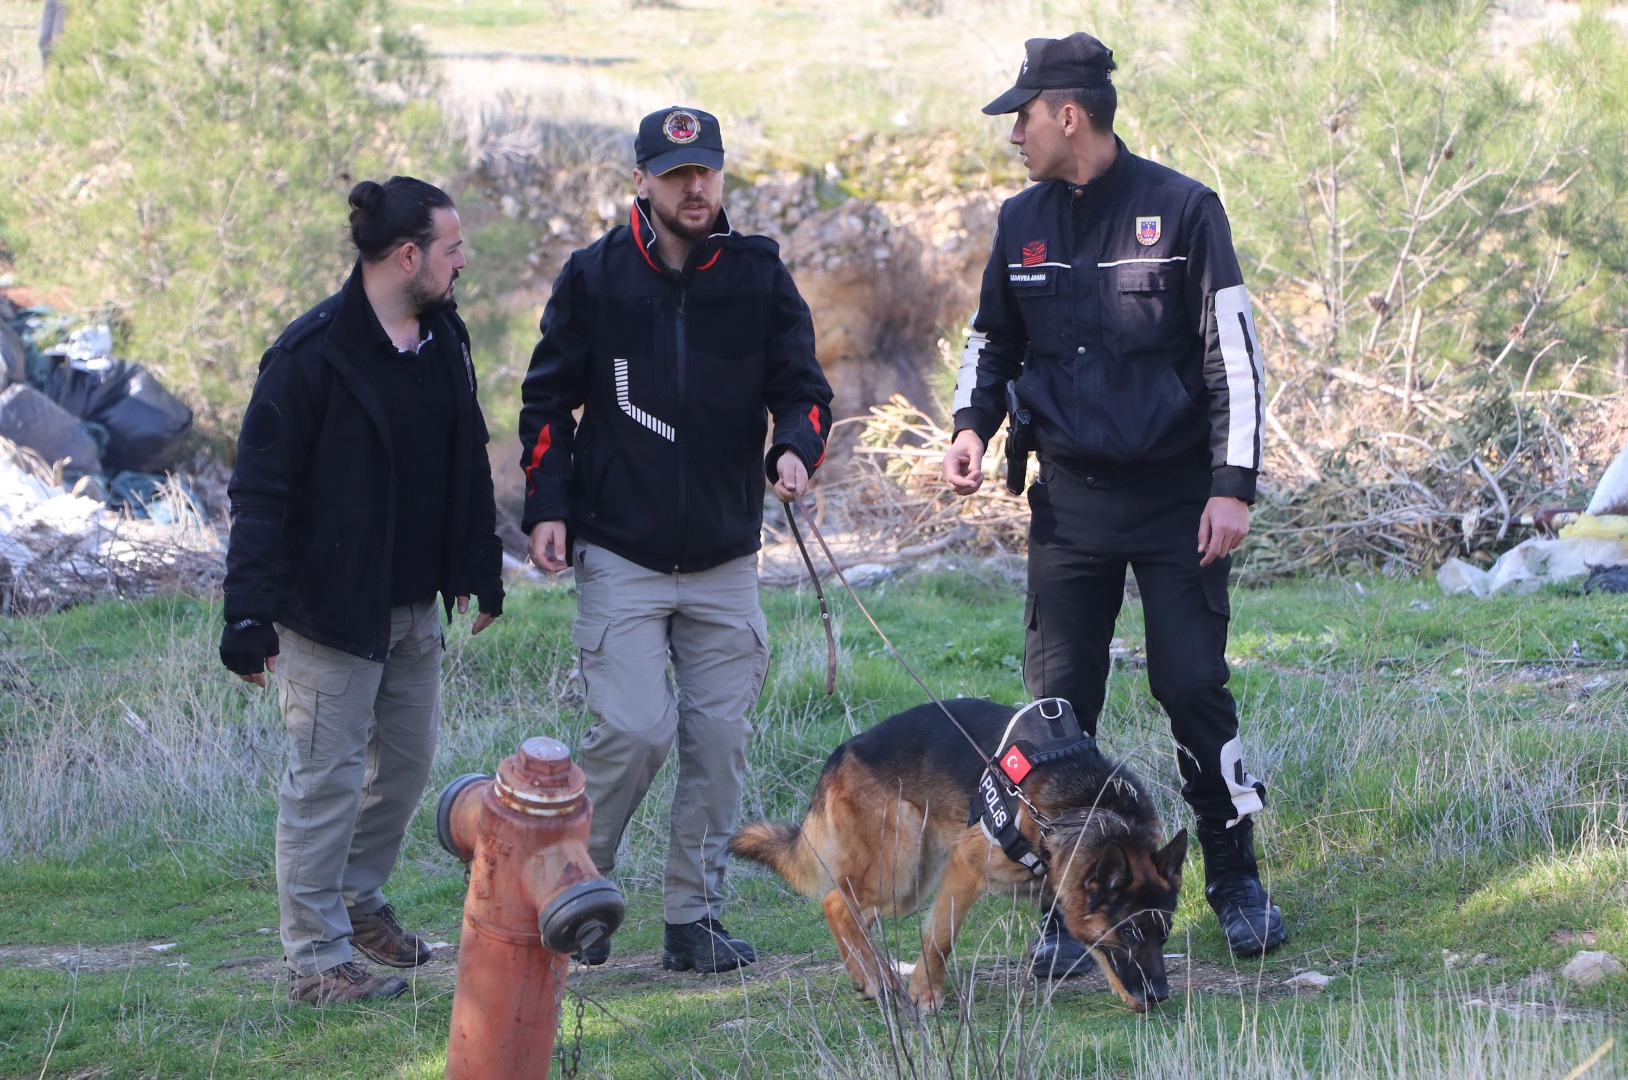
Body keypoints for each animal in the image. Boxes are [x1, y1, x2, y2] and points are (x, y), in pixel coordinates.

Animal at [732, 700, 1191, 1016]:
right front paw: (926, 993)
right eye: (1130, 932)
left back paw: (870, 974)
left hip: (909, 881)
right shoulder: (966, 867)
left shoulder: (1064, 882)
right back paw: (876, 979)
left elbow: (1092, 939)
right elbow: (940, 937)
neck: (1083, 810)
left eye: (1164, 933)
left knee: (855, 913)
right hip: (899, 868)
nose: (1160, 996)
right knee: (835, 903)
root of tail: (843, 750)